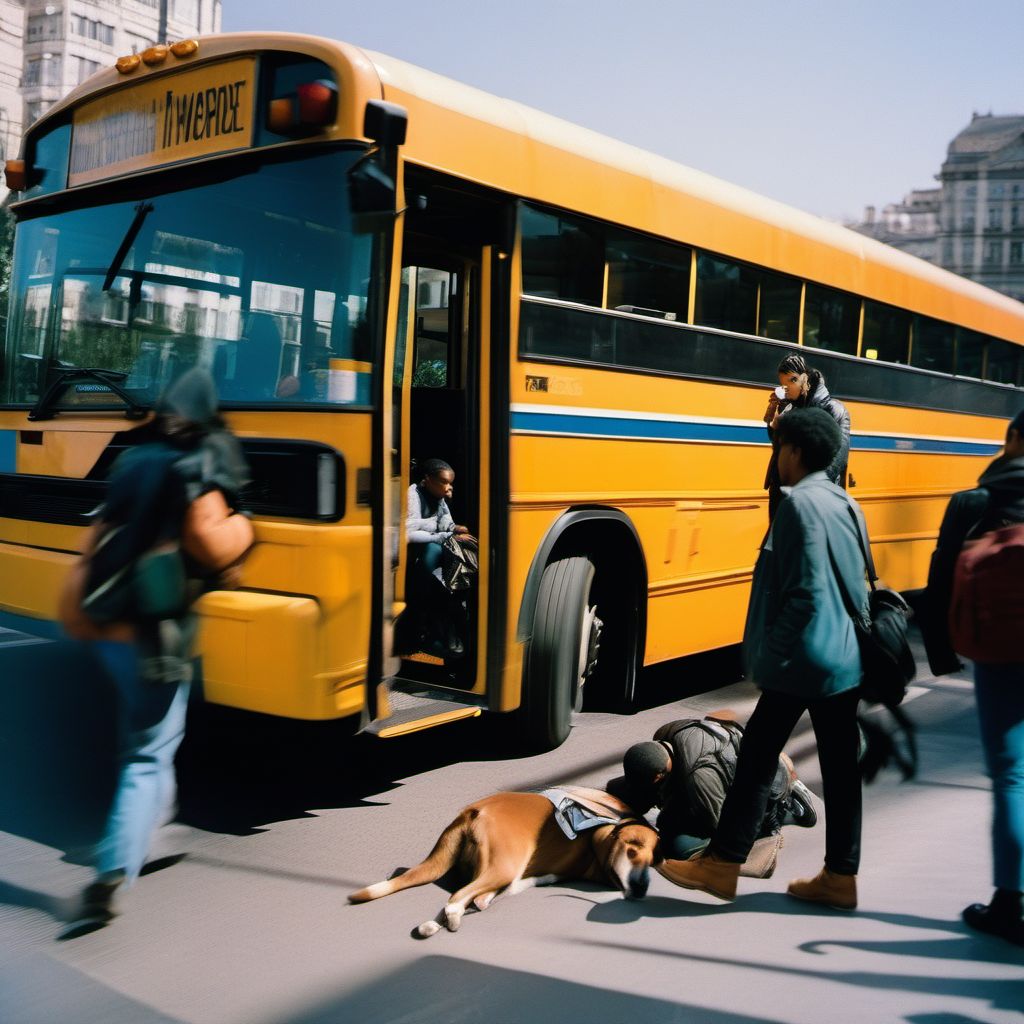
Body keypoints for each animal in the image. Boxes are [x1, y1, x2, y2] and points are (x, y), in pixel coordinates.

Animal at [348, 786, 659, 937]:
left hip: (497, 872)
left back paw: (434, 925)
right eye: (632, 850)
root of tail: (472, 811)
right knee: (457, 899)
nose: (642, 888)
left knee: (466, 900)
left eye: (654, 860)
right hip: (505, 867)